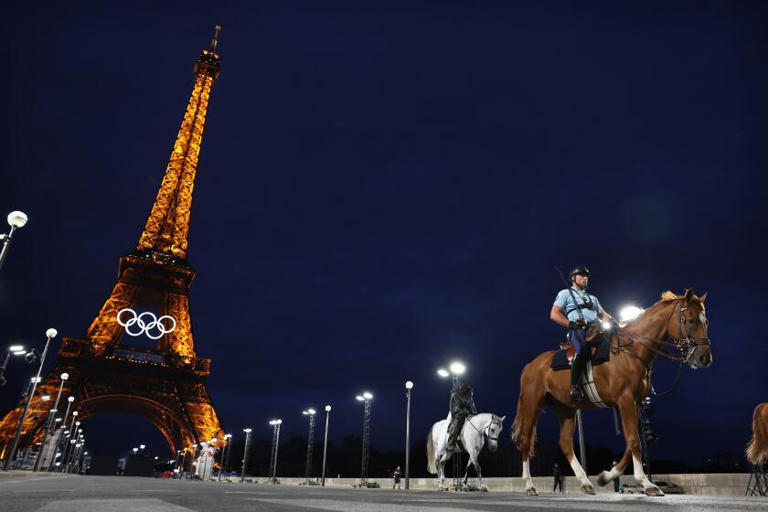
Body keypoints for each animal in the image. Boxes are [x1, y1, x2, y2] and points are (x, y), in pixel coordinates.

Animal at [512, 290, 712, 498]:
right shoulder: (625, 401)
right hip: (532, 405)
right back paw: (529, 485)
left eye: (706, 321)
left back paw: (586, 482)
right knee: (525, 441)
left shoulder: (635, 403)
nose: (704, 358)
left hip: (566, 409)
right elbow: (635, 441)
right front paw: (646, 484)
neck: (631, 350)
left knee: (565, 443)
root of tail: (530, 365)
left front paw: (606, 476)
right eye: (690, 320)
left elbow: (631, 441)